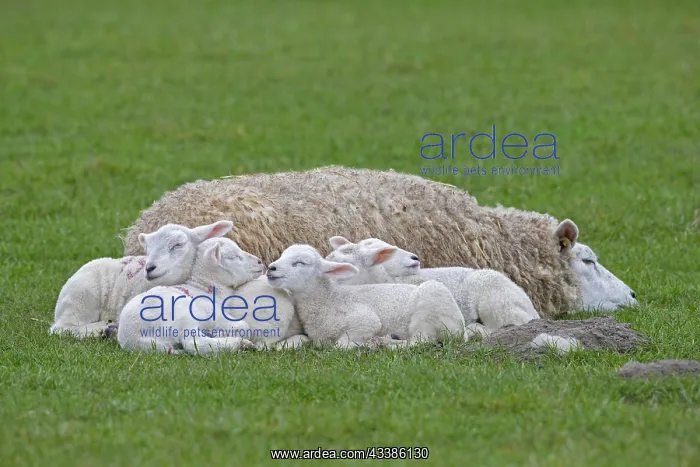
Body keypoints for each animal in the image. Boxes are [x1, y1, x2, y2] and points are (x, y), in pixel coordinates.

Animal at [50, 220, 234, 339]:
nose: (149, 267)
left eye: (178, 245)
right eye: (148, 249)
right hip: (82, 297)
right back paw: (101, 330)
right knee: (63, 328)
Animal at [265, 244, 467, 349]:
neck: (328, 300)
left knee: (421, 341)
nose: (271, 268)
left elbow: (341, 346)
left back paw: (383, 342)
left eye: (300, 263)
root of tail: (461, 327)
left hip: (430, 304)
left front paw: (365, 344)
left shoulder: (366, 321)